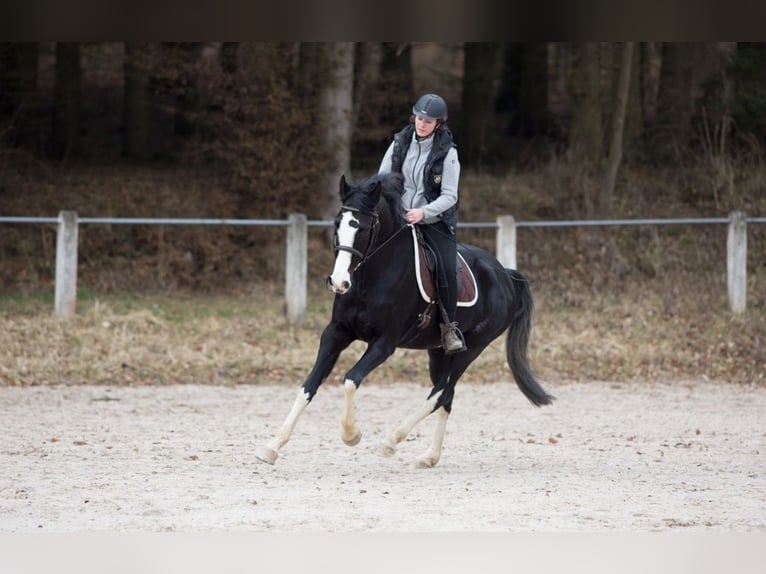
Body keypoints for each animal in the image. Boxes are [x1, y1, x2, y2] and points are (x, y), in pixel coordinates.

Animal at [255, 173, 556, 470]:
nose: (338, 282)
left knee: (440, 392)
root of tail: (505, 274)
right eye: (337, 225)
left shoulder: (384, 343)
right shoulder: (336, 333)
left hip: (471, 348)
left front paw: (351, 435)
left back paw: (390, 442)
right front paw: (271, 447)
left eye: (362, 228)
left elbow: (351, 380)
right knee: (446, 397)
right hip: (439, 352)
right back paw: (429, 457)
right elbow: (308, 385)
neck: (370, 278)